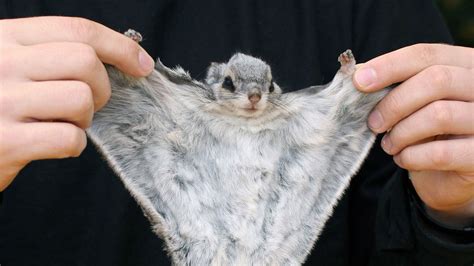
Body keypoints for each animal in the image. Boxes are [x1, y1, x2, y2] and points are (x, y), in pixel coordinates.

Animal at [88, 29, 388, 264]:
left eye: (271, 84)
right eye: (228, 82)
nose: (255, 96)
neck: (246, 121)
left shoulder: (324, 114)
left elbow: (347, 93)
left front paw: (348, 67)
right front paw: (130, 42)